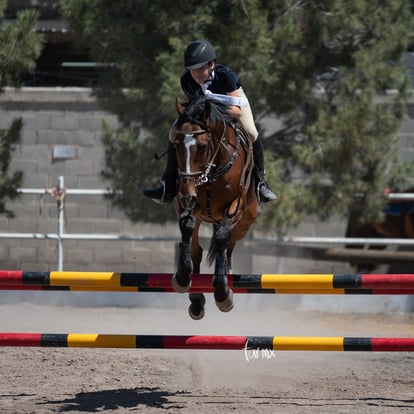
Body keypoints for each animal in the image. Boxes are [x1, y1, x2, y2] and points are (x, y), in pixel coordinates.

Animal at [170, 94, 258, 320]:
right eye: (176, 144)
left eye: (202, 146)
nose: (188, 194)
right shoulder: (185, 203)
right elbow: (187, 229)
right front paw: (182, 277)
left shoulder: (237, 204)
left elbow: (222, 237)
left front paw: (221, 292)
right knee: (199, 249)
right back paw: (196, 301)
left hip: (245, 221)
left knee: (227, 246)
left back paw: (225, 288)